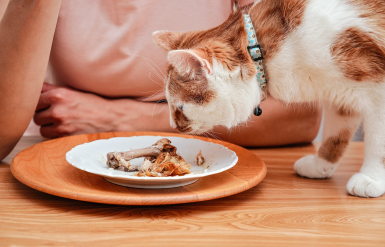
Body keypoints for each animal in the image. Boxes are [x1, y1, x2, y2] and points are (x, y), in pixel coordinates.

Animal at [152, 0, 384, 198]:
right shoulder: (341, 96)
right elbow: (334, 136)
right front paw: (320, 165)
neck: (260, 50)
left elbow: (377, 142)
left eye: (180, 107)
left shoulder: (376, 87)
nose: (172, 126)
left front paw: (370, 178)